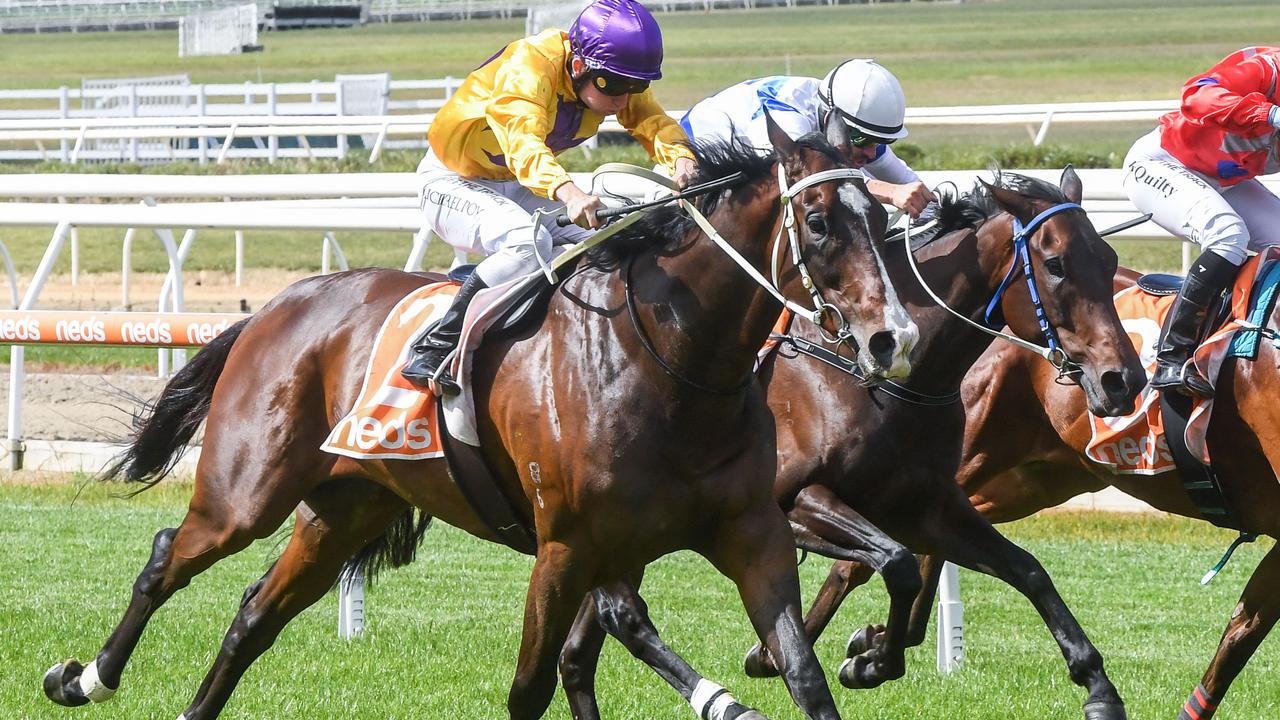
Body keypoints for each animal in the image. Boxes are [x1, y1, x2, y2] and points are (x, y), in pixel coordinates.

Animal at [42, 117, 921, 717]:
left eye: (882, 223)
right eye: (819, 223)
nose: (894, 338)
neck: (672, 363)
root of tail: (278, 306)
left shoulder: (749, 530)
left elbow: (803, 671)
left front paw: (843, 663)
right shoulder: (566, 550)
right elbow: (532, 685)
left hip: (346, 506)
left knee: (253, 617)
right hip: (246, 491)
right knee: (168, 556)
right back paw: (84, 677)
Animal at [560, 166, 1152, 717]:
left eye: (1107, 259)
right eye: (1056, 265)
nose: (1123, 380)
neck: (885, 379)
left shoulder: (925, 503)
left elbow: (1025, 570)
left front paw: (1098, 686)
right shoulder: (795, 500)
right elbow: (897, 564)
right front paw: (861, 658)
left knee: (577, 651)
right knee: (615, 617)